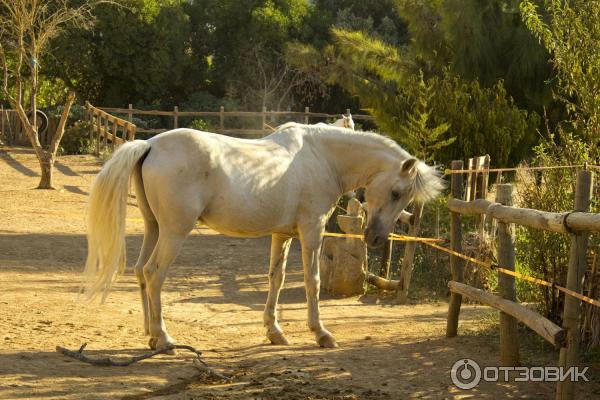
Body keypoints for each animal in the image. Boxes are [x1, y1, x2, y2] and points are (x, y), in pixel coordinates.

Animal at [82, 122, 442, 350]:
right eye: (396, 192)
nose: (376, 238)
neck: (321, 157)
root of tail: (150, 145)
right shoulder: (312, 231)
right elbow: (312, 281)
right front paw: (321, 334)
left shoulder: (282, 235)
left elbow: (275, 279)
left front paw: (275, 332)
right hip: (174, 232)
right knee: (154, 273)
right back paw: (164, 338)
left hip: (154, 227)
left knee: (141, 272)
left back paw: (151, 334)